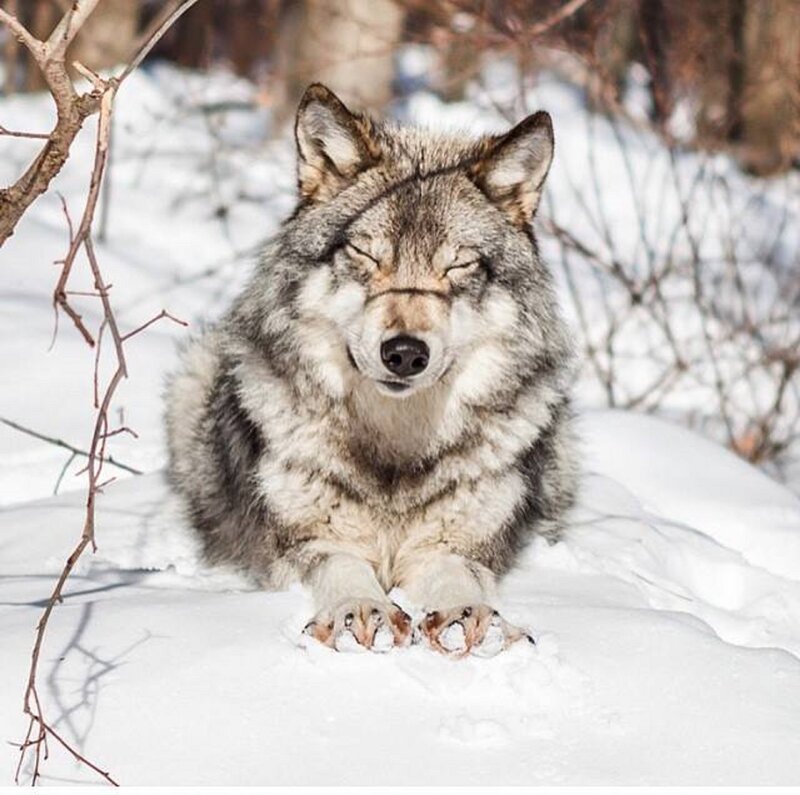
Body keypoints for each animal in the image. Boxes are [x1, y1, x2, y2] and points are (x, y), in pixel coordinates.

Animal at [165, 84, 577, 656]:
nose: (404, 352)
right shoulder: (300, 543)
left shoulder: (459, 544)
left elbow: (458, 577)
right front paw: (362, 609)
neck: (394, 452)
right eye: (365, 254)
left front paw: (473, 618)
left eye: (458, 265)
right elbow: (341, 567)